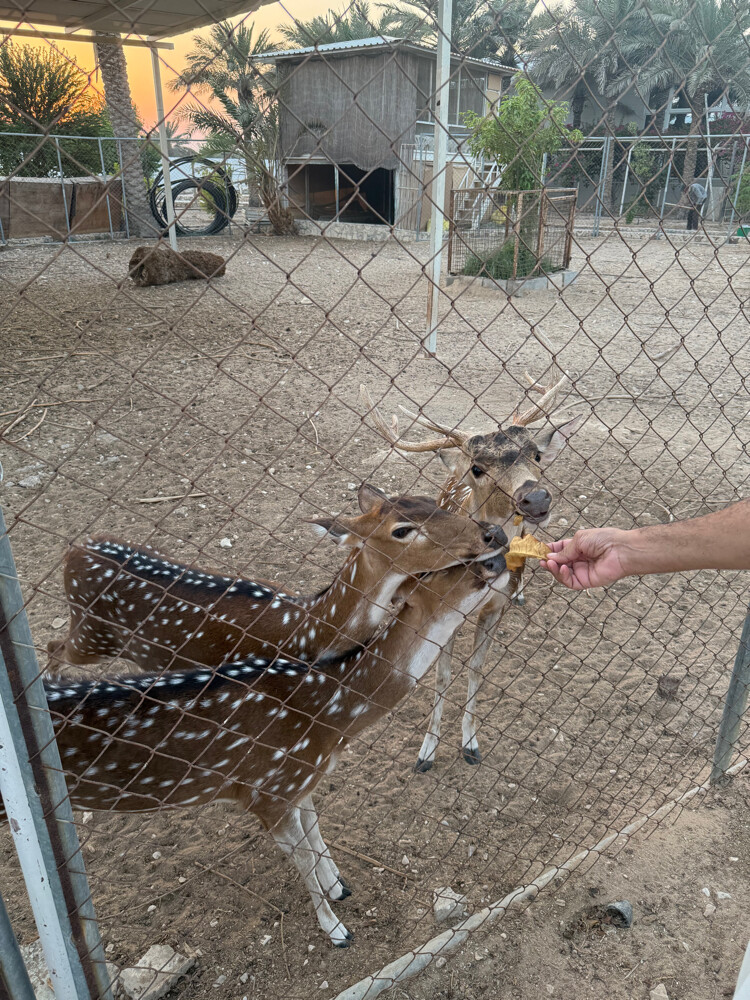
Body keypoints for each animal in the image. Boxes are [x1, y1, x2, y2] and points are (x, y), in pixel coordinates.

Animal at [35, 521, 508, 947]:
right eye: (456, 572)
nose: (500, 553)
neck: (326, 715)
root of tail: (74, 546)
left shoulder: (297, 778)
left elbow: (313, 830)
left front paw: (339, 884)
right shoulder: (266, 791)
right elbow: (300, 855)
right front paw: (336, 929)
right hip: (92, 637)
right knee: (53, 648)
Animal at [361, 381, 582, 771]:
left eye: (536, 455)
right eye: (478, 468)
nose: (536, 497)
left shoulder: (494, 608)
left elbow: (476, 670)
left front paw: (470, 744)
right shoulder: (442, 606)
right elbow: (442, 673)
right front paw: (427, 752)